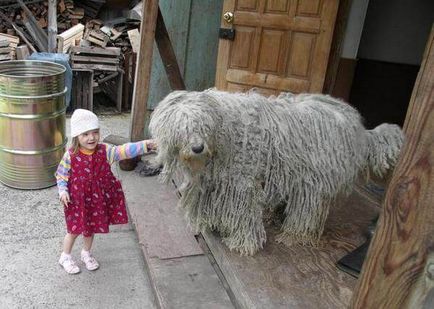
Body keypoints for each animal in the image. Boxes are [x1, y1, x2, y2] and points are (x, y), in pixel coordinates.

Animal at [149, 88, 404, 254]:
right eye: (181, 130)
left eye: (203, 126)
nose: (197, 147)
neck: (224, 134)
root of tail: (359, 128)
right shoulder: (216, 182)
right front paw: (213, 224)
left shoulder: (241, 183)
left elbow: (244, 214)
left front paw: (243, 242)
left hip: (312, 179)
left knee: (307, 209)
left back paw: (295, 234)